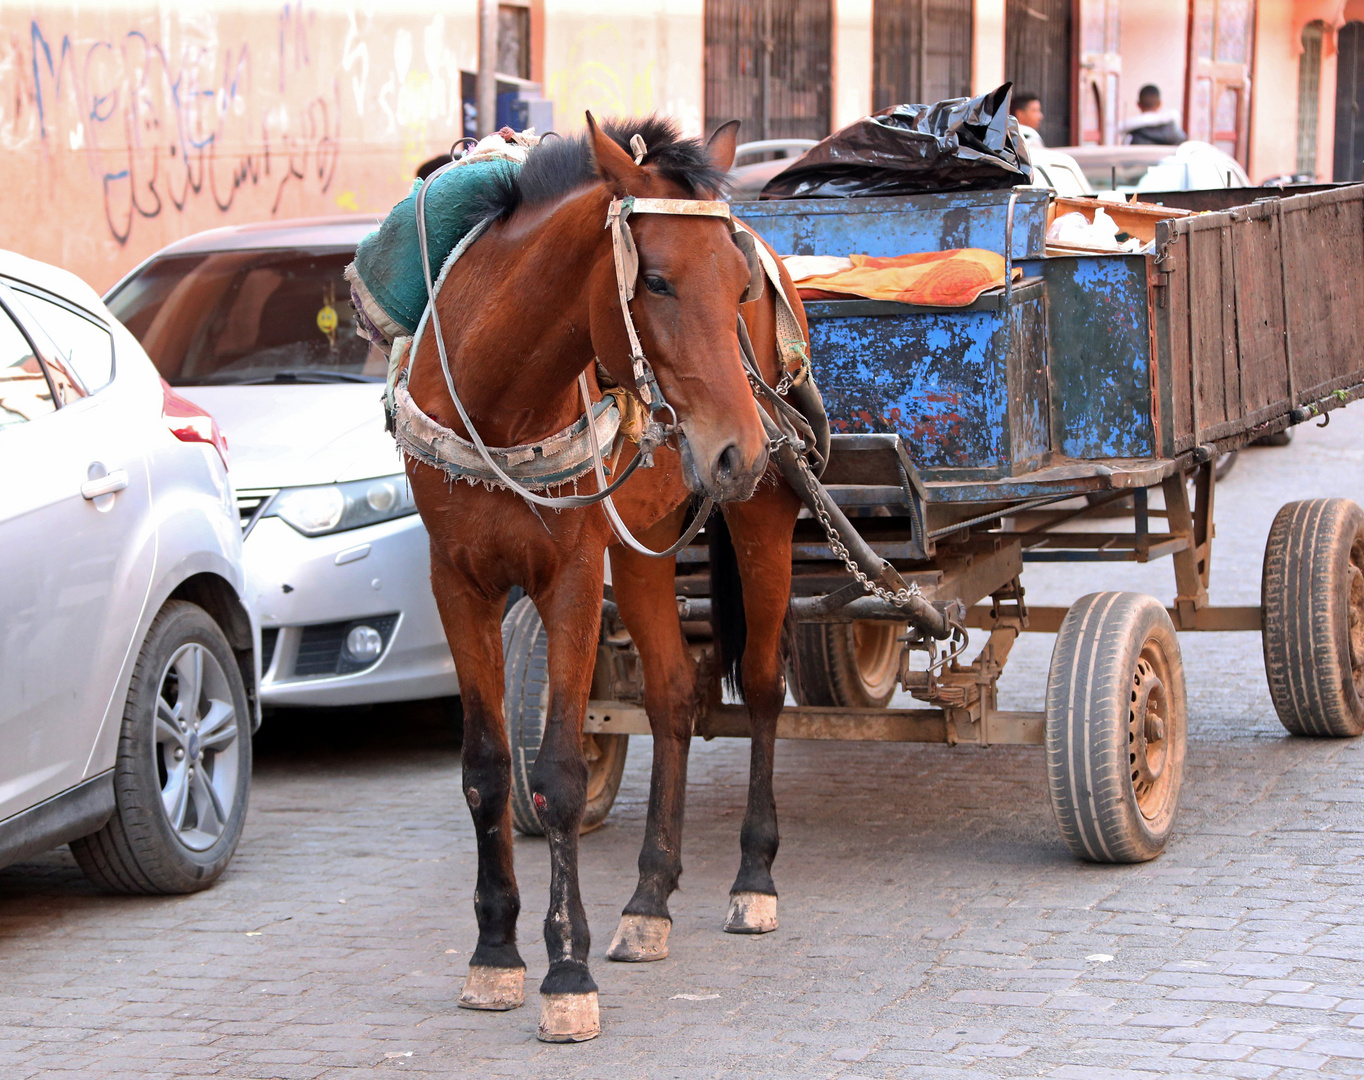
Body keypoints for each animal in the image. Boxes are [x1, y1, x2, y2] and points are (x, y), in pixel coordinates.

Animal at [403, 113, 807, 1041]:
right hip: (646, 539)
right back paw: (650, 899)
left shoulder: (574, 579)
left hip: (763, 515)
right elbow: (486, 767)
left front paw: (566, 972)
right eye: (654, 280)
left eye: (735, 283)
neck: (502, 402)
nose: (736, 449)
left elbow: (556, 771)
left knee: (762, 686)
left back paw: (753, 878)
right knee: (672, 699)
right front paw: (494, 954)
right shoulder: (457, 582)